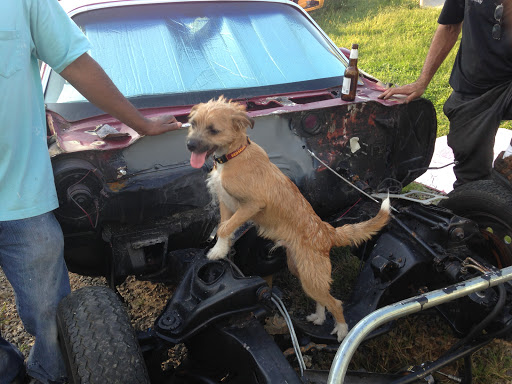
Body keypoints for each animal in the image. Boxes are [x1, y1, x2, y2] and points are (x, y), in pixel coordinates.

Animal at [186, 97, 390, 342]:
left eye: (213, 130)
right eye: (193, 124)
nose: (189, 145)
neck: (234, 155)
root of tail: (327, 231)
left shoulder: (252, 205)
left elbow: (225, 227)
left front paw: (217, 250)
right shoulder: (226, 203)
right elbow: (223, 227)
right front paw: (220, 250)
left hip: (311, 276)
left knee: (336, 302)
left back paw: (342, 330)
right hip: (300, 271)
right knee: (323, 299)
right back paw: (319, 317)